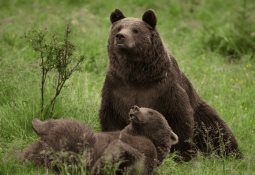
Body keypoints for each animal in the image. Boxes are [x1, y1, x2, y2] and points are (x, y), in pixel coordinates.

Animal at [99, 8, 241, 161]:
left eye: (135, 30)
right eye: (118, 28)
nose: (120, 36)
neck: (137, 75)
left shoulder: (165, 88)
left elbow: (179, 118)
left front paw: (181, 155)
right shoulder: (116, 87)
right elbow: (111, 117)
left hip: (202, 114)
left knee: (217, 130)